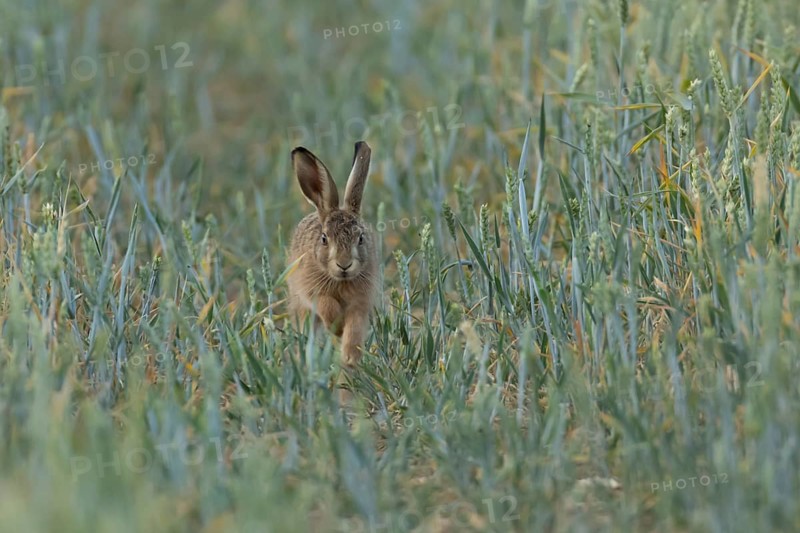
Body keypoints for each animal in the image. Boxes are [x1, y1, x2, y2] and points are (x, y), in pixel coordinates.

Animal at [287, 141, 378, 367]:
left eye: (360, 238)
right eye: (324, 238)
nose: (344, 264)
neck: (341, 281)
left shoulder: (361, 302)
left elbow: (355, 326)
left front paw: (351, 356)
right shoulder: (312, 292)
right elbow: (326, 305)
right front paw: (337, 328)